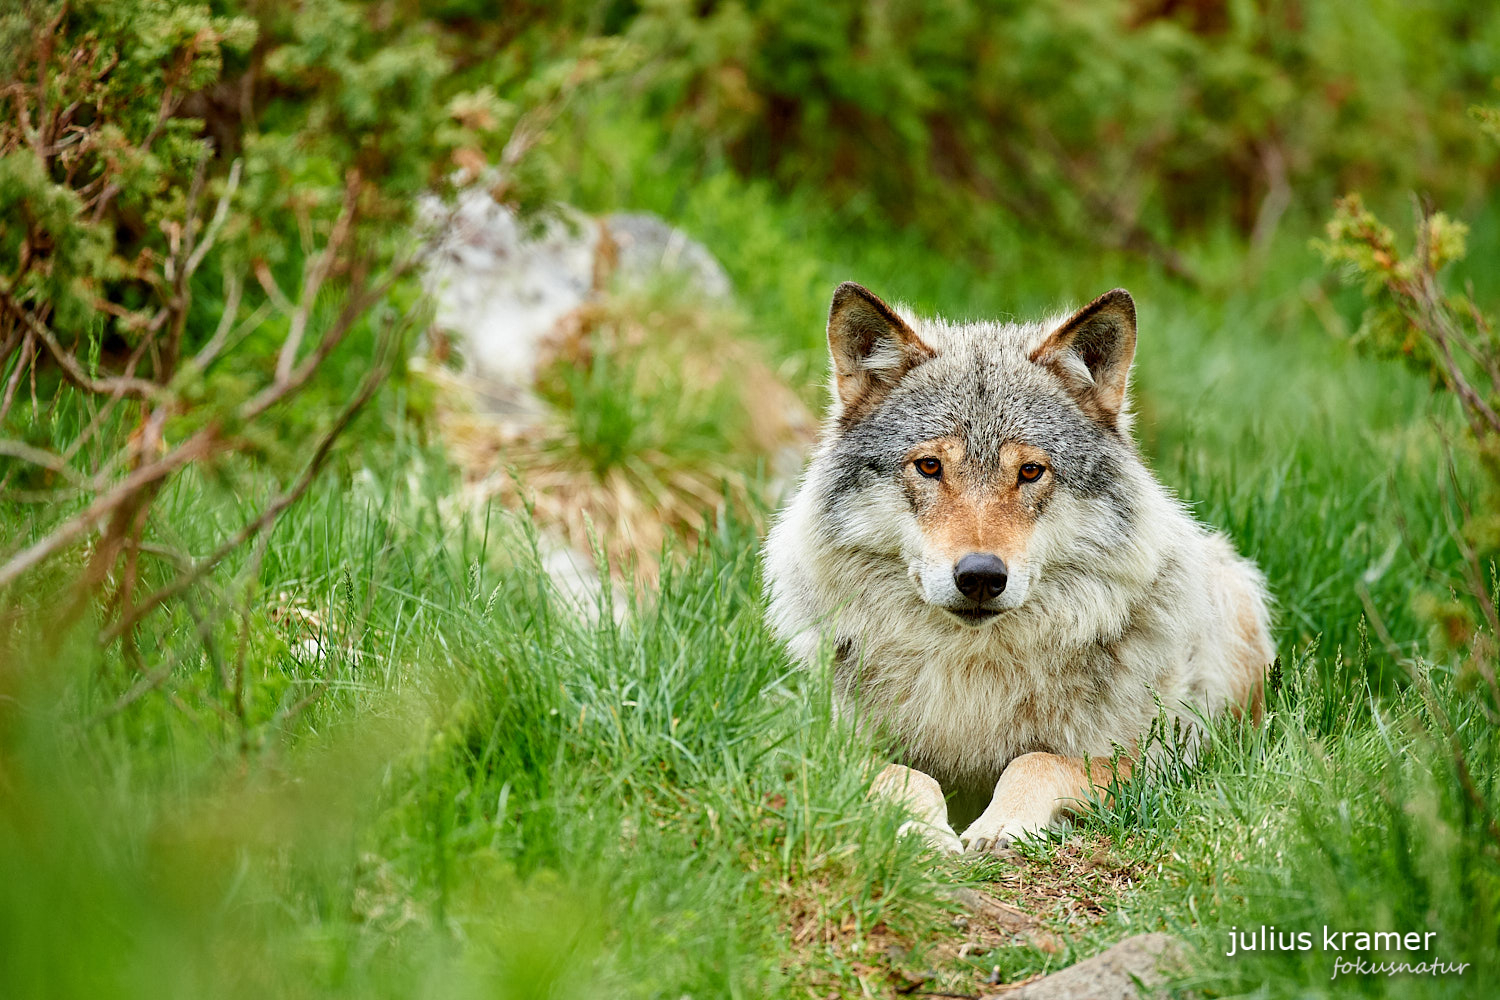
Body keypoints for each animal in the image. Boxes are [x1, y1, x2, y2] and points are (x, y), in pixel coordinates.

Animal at [768, 281, 1272, 851]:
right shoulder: (818, 752)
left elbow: (1036, 761)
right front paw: (926, 832)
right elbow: (905, 775)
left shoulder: (1164, 764)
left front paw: (999, 825)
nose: (981, 576)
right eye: (929, 466)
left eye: (1030, 471)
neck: (973, 673)